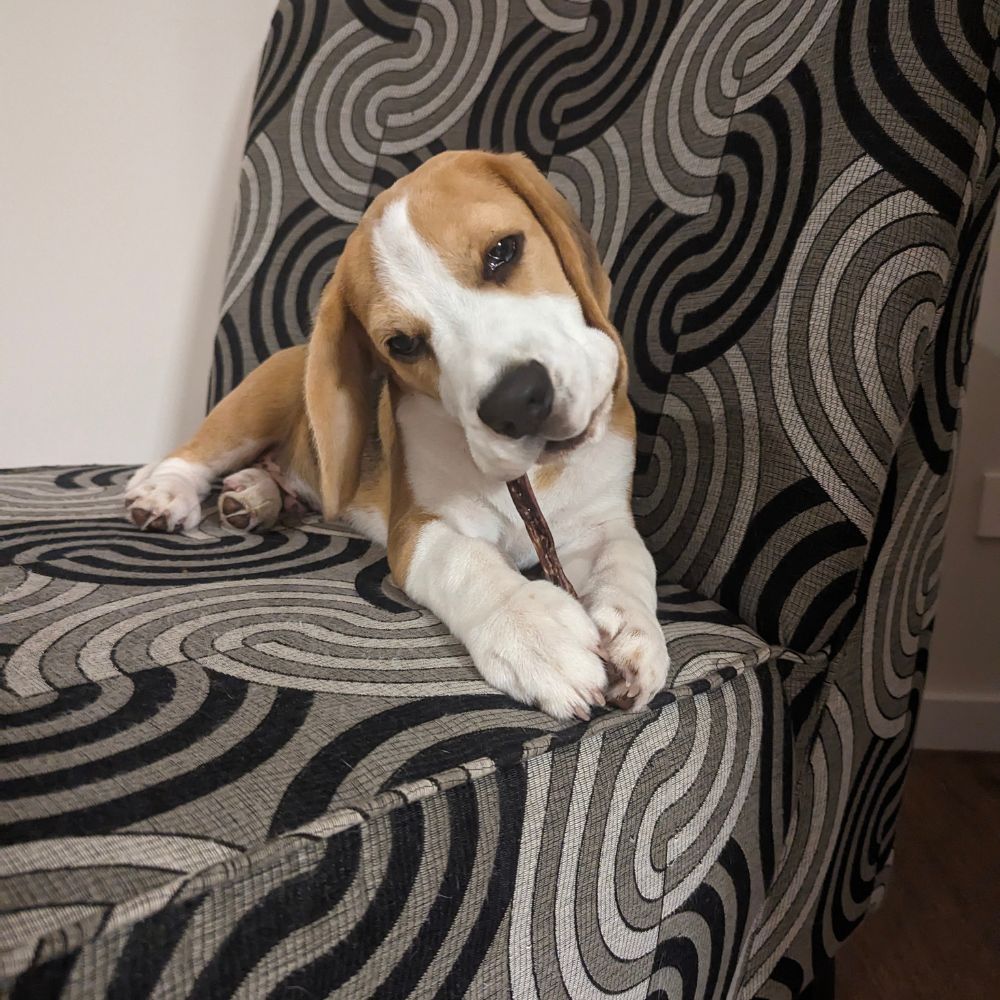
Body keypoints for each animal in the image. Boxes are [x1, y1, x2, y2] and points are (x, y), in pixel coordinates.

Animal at [127, 148, 672, 720]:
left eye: (503, 251)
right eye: (403, 344)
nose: (517, 403)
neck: (530, 479)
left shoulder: (603, 521)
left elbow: (629, 562)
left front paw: (634, 632)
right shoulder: (415, 529)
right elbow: (468, 562)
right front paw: (536, 629)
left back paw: (253, 497)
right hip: (252, 408)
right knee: (194, 455)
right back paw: (164, 494)